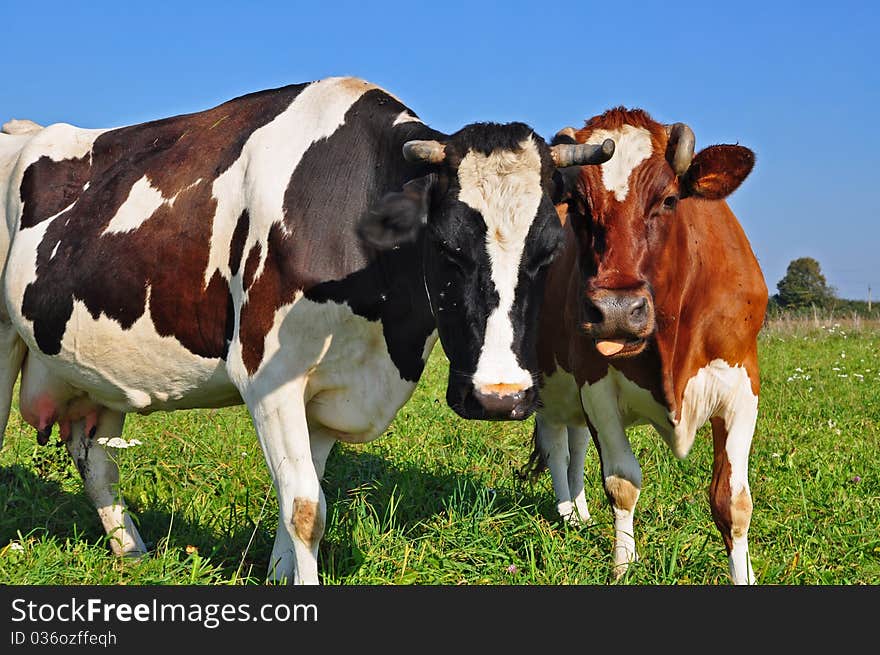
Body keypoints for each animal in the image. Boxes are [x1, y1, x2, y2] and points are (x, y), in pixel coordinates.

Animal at [0, 77, 616, 584]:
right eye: (446, 246)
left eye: (548, 251)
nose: (499, 398)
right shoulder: (268, 378)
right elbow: (305, 509)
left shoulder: (328, 391)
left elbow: (298, 498)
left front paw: (278, 578)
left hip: (94, 375)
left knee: (97, 461)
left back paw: (132, 552)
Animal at [524, 110, 768, 588]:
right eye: (578, 207)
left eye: (669, 199)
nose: (617, 311)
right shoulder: (595, 381)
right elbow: (622, 482)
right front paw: (623, 565)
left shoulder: (741, 386)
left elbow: (732, 501)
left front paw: (743, 574)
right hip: (549, 383)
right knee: (557, 443)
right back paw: (566, 513)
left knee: (575, 442)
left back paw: (579, 515)